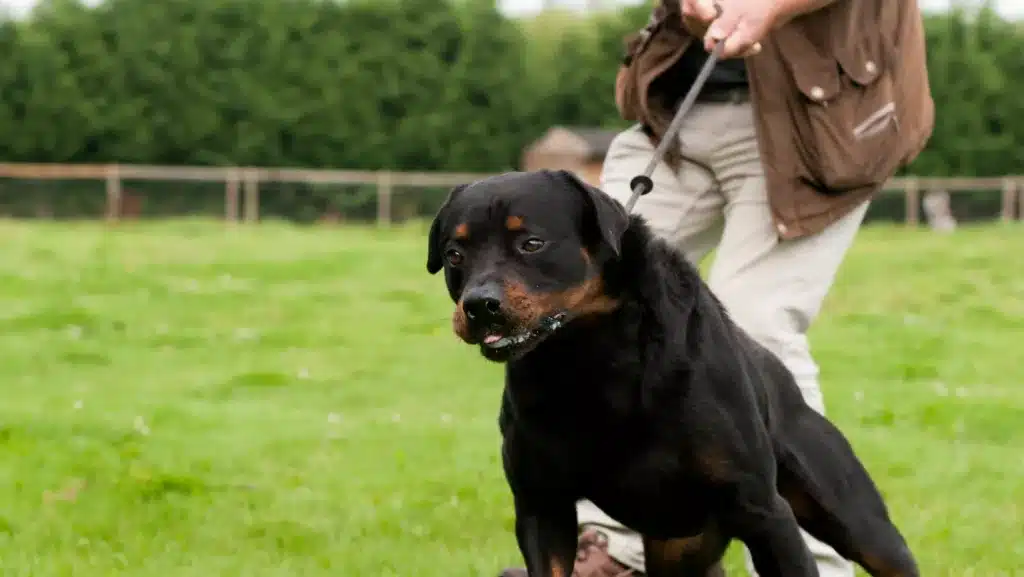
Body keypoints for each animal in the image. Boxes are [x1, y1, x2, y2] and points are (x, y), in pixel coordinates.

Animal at [423, 170, 921, 577]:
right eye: (454, 254)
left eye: (531, 243)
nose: (479, 305)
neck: (587, 357)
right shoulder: (542, 506)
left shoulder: (763, 510)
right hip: (679, 546)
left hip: (853, 517)